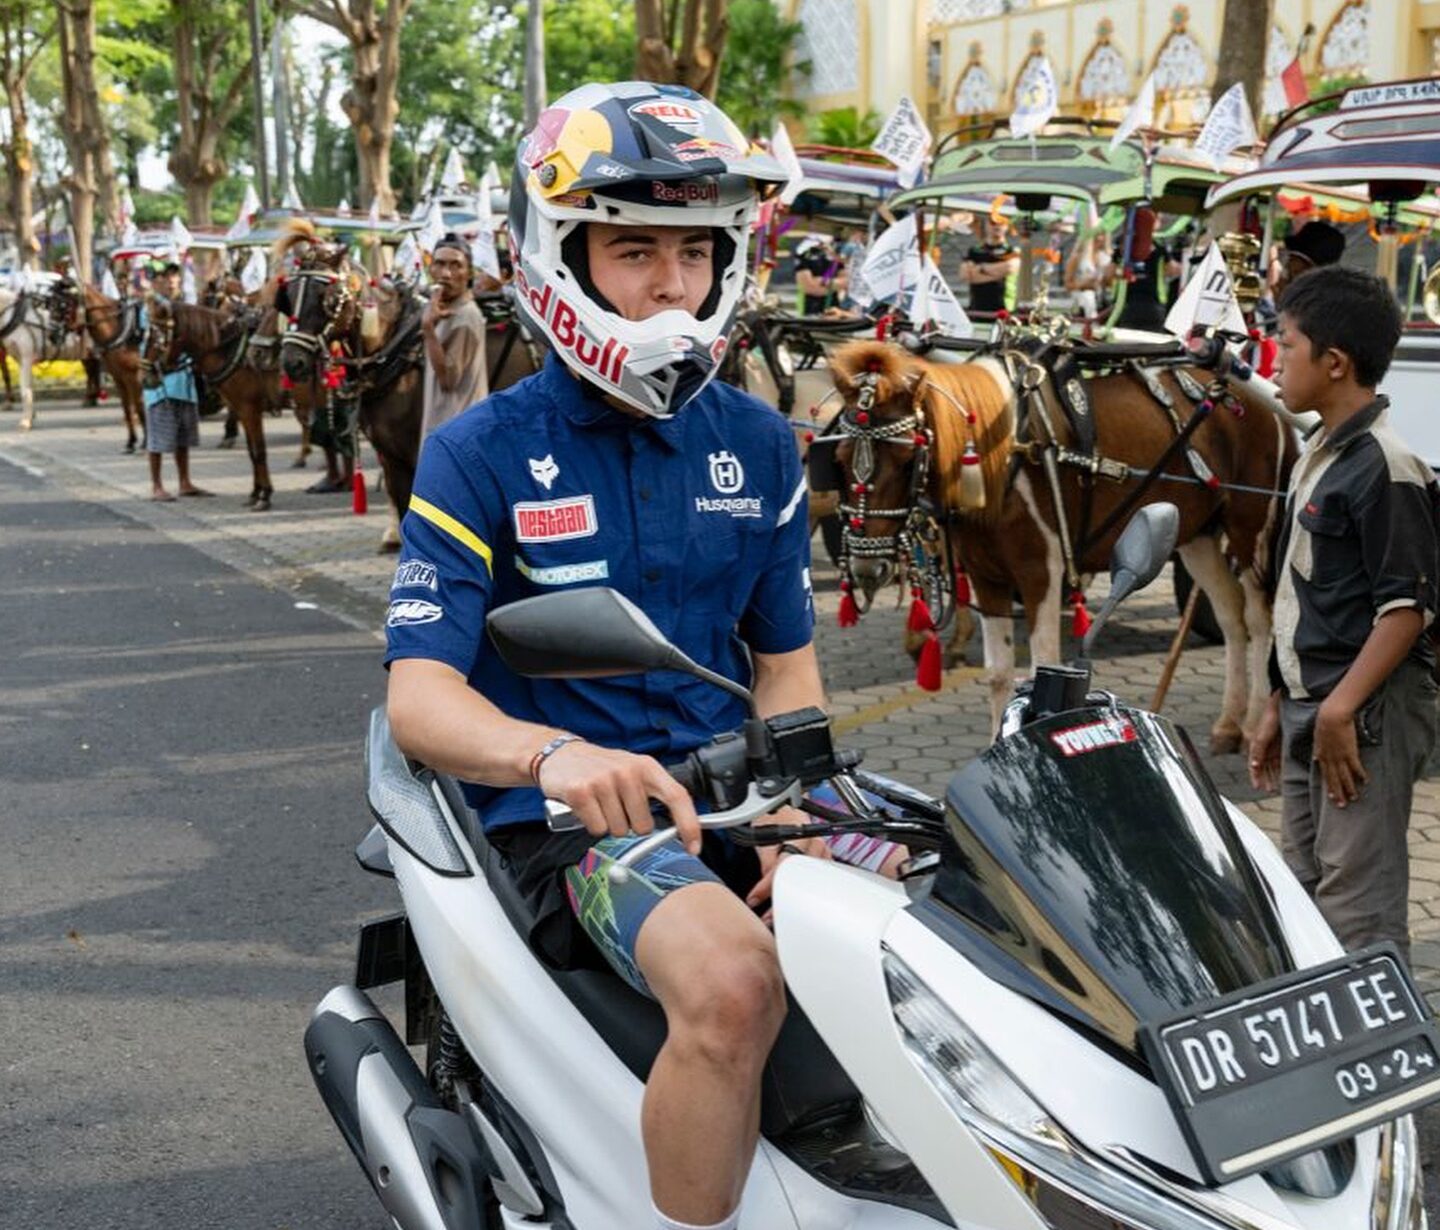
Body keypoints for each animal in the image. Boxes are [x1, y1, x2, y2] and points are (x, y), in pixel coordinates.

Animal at [829, 341, 1301, 754]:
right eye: (839, 458)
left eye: (907, 460)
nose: (868, 568)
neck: (1004, 453)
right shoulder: (987, 578)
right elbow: (999, 674)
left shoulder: (1040, 572)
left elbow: (1041, 665)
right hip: (1196, 535)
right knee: (1230, 615)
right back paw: (1228, 724)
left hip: (1249, 527)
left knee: (1259, 620)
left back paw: (1254, 723)